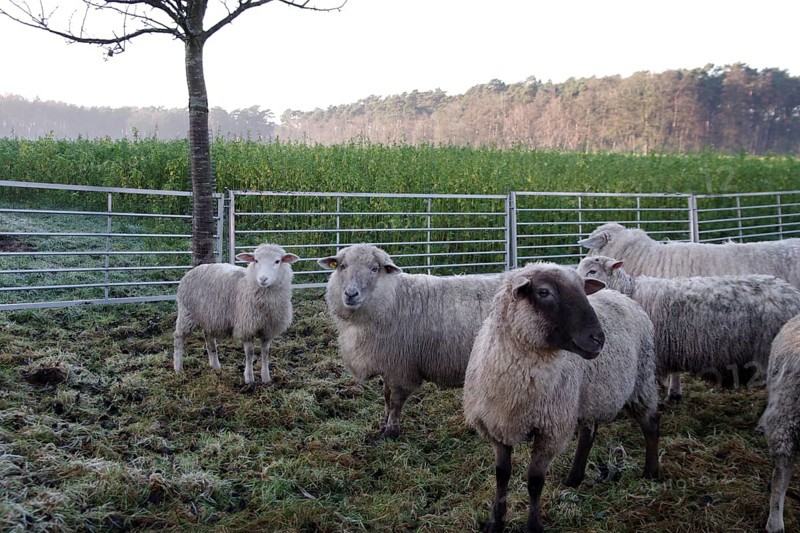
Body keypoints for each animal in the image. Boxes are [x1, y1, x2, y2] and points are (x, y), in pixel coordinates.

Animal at [173, 244, 299, 385]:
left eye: (277, 261)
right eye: (256, 260)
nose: (263, 279)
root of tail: (193, 270)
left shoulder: (267, 330)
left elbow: (265, 352)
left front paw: (266, 378)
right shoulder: (246, 328)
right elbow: (249, 353)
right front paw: (249, 379)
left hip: (210, 316)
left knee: (209, 339)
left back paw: (215, 366)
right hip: (187, 313)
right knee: (178, 338)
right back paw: (178, 368)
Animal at [318, 243, 506, 438]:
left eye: (374, 269)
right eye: (342, 266)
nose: (351, 294)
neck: (394, 299)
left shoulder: (401, 368)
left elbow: (395, 402)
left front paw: (391, 431)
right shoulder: (388, 366)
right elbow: (386, 397)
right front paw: (383, 425)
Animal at [464, 262, 660, 532]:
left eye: (582, 288)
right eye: (544, 292)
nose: (598, 338)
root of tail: (621, 296)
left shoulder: (551, 430)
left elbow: (535, 481)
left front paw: (533, 526)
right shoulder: (497, 427)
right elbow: (501, 475)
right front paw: (496, 522)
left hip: (641, 380)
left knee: (651, 424)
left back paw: (651, 471)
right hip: (589, 396)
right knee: (588, 434)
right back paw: (574, 478)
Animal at [577, 255, 800, 402]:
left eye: (593, 271)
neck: (631, 292)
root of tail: (792, 294)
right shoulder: (673, 342)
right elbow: (675, 370)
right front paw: (674, 393)